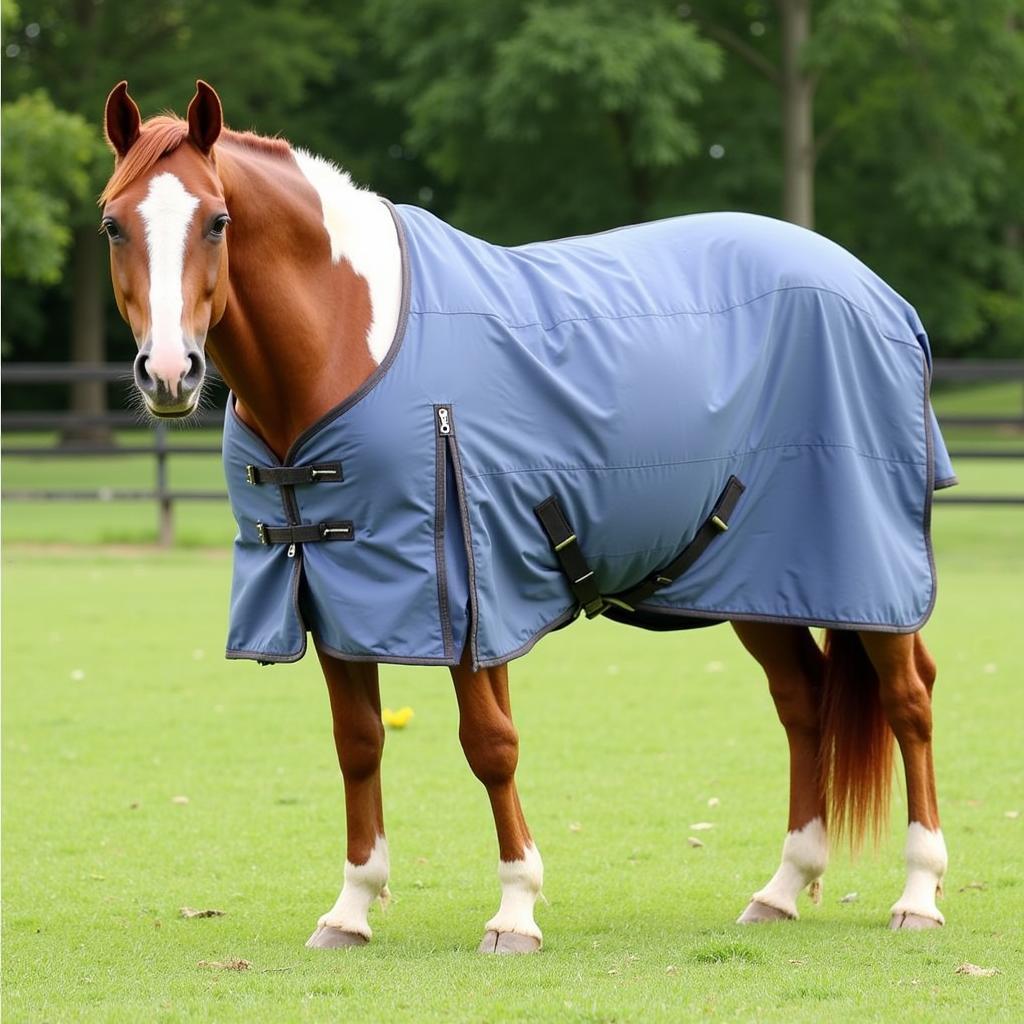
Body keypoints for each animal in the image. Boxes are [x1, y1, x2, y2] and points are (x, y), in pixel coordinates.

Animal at [97, 79, 950, 950]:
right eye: (112, 222)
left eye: (217, 221)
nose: (170, 372)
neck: (345, 344)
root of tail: (872, 289)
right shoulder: (333, 590)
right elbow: (359, 744)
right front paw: (352, 908)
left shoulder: (471, 591)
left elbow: (490, 745)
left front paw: (515, 909)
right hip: (756, 579)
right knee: (803, 700)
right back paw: (782, 887)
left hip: (866, 571)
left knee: (909, 698)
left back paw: (918, 893)